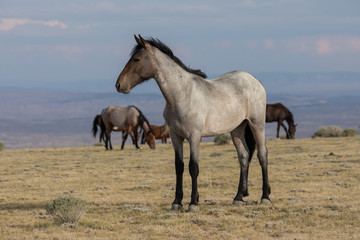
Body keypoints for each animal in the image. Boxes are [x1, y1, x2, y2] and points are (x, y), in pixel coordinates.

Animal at [115, 34, 270, 211]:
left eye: (137, 59)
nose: (119, 84)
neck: (181, 94)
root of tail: (255, 80)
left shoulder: (194, 137)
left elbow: (193, 167)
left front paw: (193, 203)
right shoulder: (176, 137)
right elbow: (179, 167)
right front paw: (177, 202)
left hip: (257, 125)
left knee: (262, 154)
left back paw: (265, 197)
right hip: (236, 129)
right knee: (243, 157)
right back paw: (238, 197)